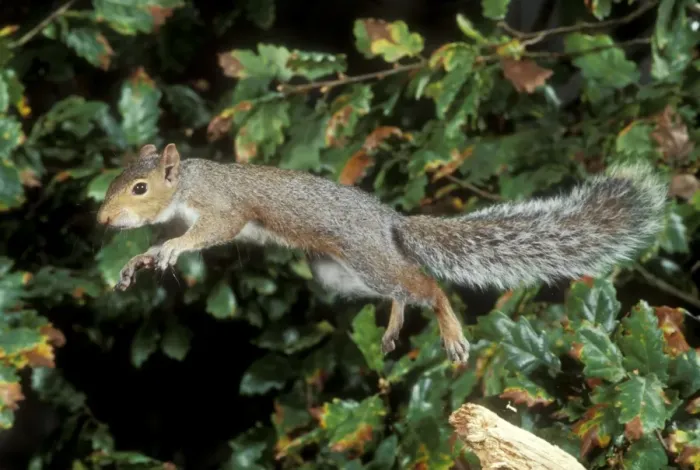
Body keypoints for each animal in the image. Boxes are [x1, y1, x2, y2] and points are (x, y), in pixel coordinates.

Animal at [97, 143, 668, 364]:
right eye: (117, 178)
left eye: (140, 188)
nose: (103, 219)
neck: (188, 183)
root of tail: (390, 223)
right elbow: (157, 244)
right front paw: (140, 260)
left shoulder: (222, 208)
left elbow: (212, 229)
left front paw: (171, 248)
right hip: (341, 274)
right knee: (401, 287)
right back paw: (395, 322)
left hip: (365, 256)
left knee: (428, 286)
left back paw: (451, 333)